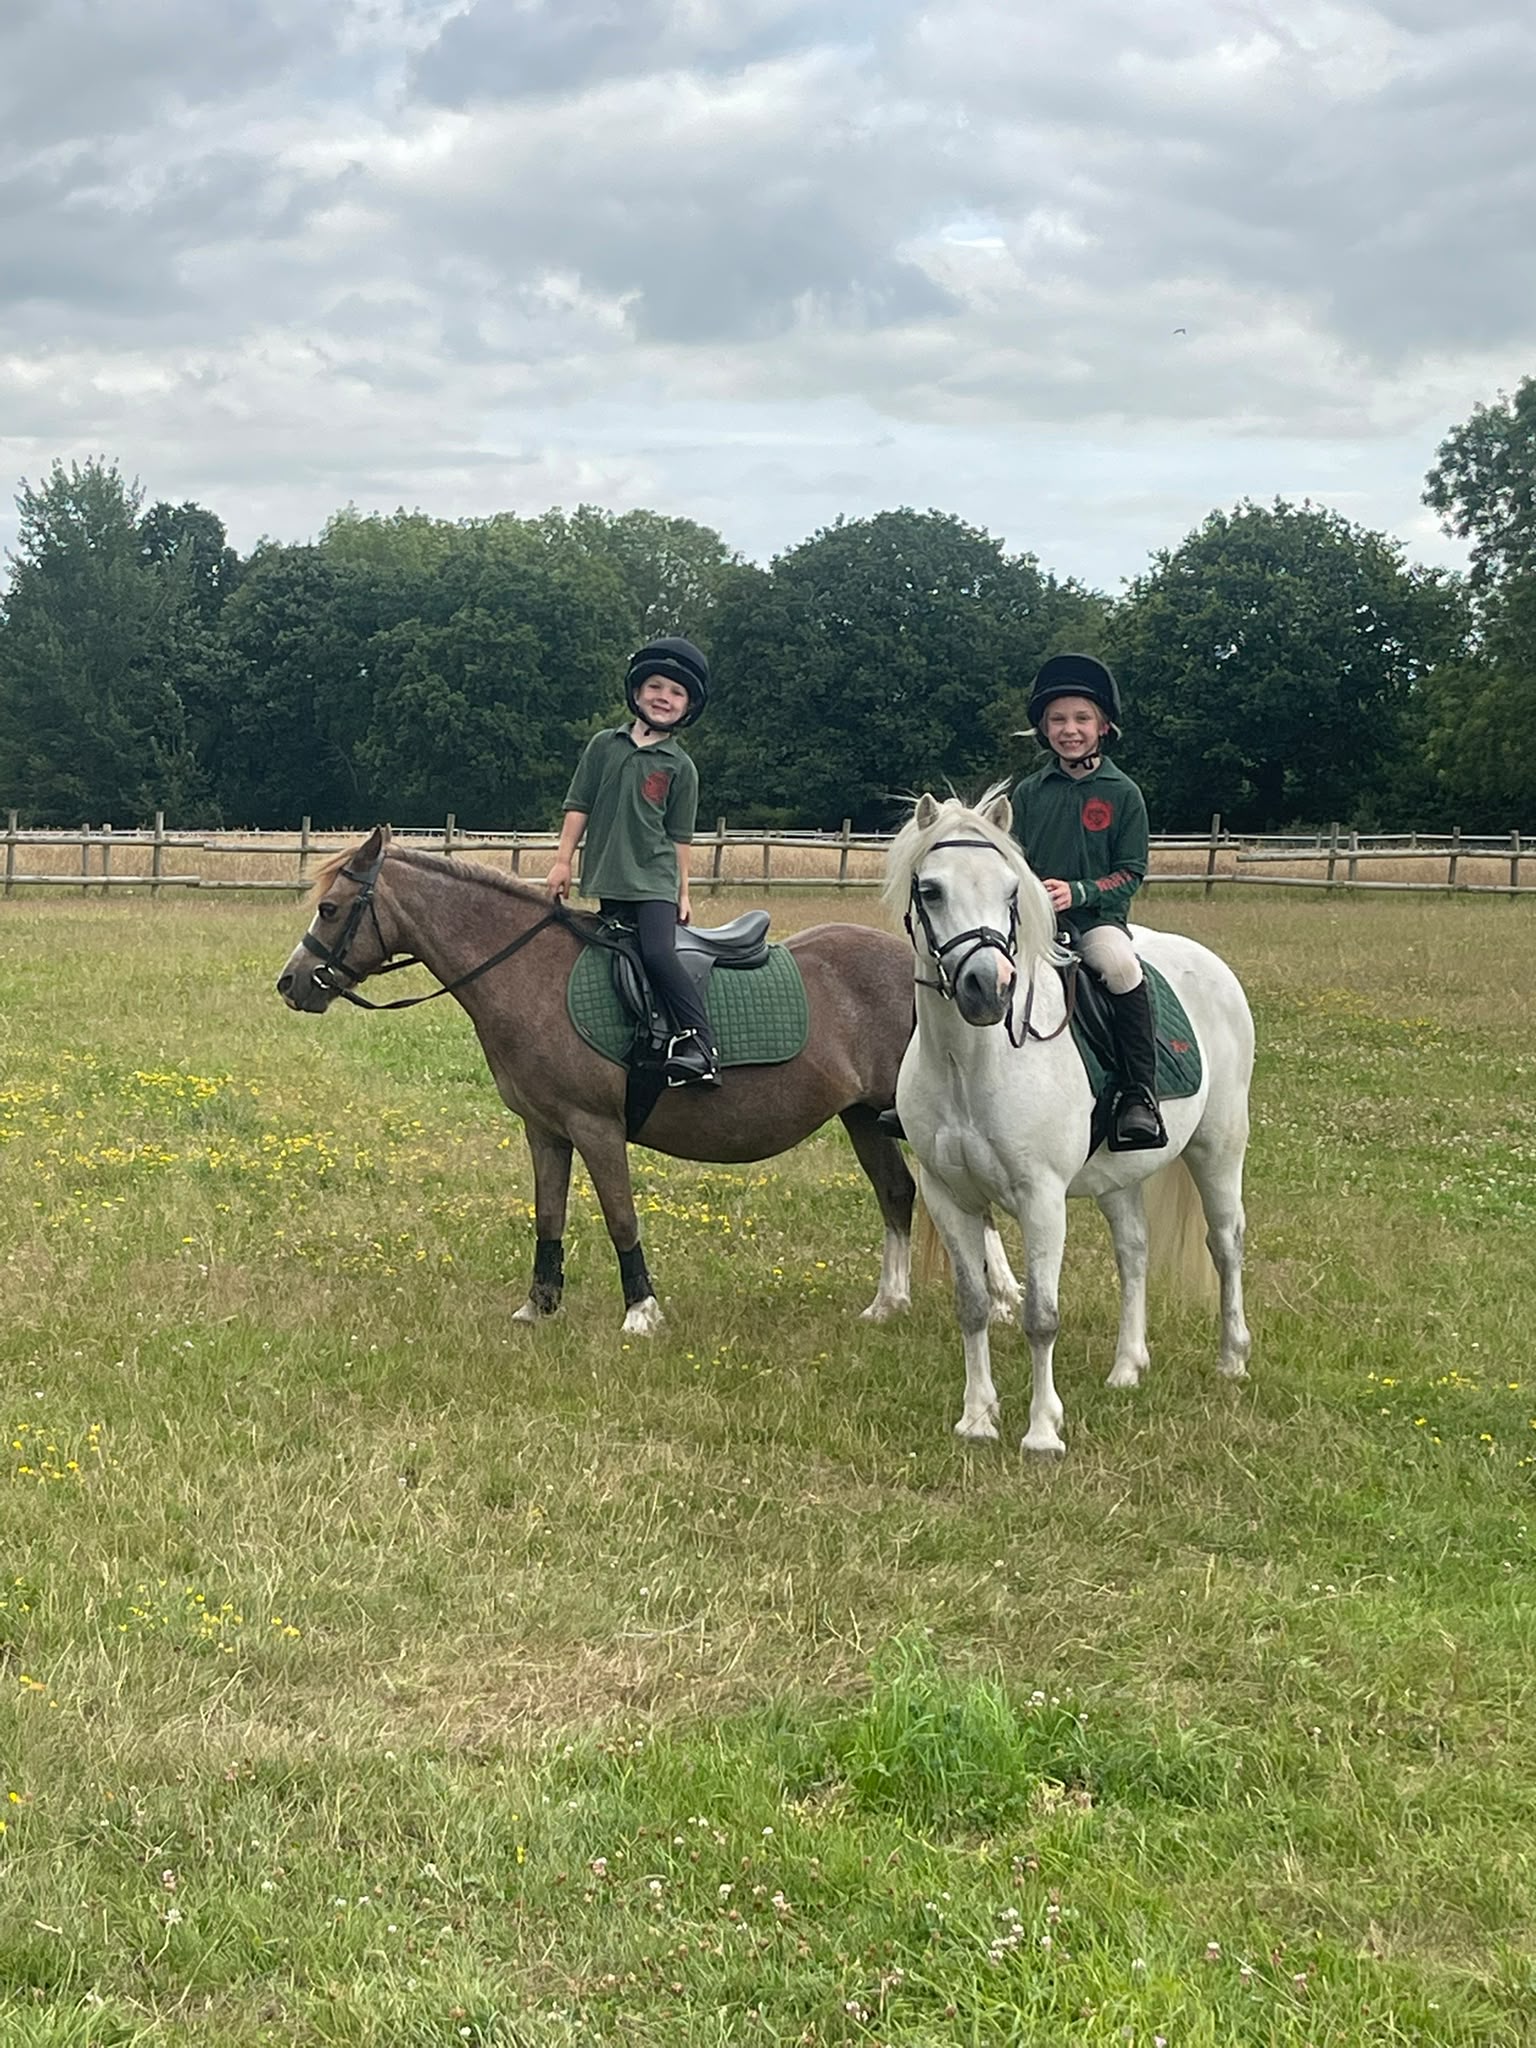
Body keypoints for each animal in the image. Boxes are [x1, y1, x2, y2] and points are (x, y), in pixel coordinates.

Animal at [276, 825, 983, 1334]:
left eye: (331, 907)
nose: (291, 983)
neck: (533, 972)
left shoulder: (596, 1128)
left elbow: (620, 1217)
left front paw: (641, 1311)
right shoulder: (545, 1130)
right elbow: (549, 1214)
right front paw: (540, 1305)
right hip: (863, 1116)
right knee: (895, 1193)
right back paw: (889, 1305)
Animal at [886, 790, 1254, 1457]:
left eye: (1012, 889)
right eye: (930, 889)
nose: (987, 989)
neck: (970, 1062)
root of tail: (1210, 964)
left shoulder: (1041, 1198)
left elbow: (1041, 1316)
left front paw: (1041, 1432)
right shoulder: (948, 1194)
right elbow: (972, 1305)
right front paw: (977, 1419)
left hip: (1218, 1148)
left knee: (1225, 1243)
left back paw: (1232, 1358)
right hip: (1120, 1174)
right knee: (1134, 1250)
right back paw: (1127, 1366)